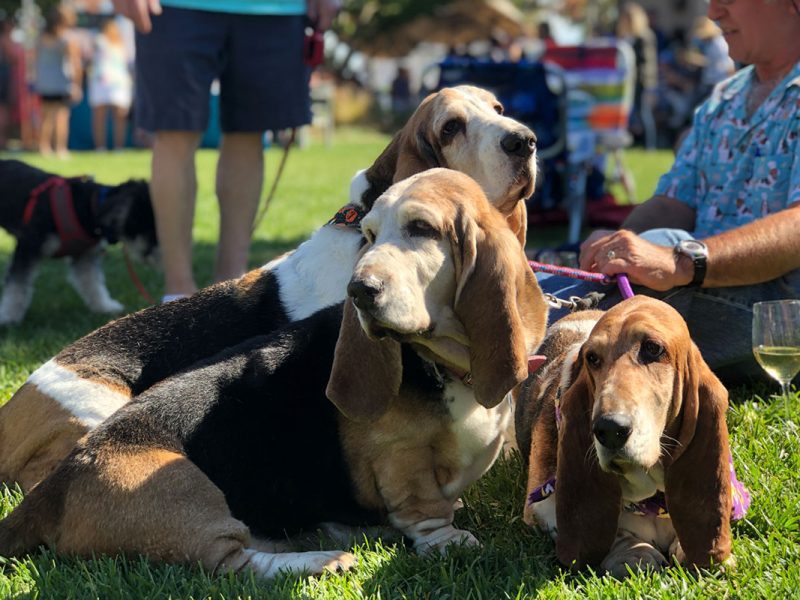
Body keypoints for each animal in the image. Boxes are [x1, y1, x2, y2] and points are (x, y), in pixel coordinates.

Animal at [0, 159, 158, 326]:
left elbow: (93, 283)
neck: (86, 206)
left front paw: (104, 306)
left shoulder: (84, 256)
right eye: (152, 228)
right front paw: (8, 317)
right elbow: (17, 285)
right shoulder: (28, 247)